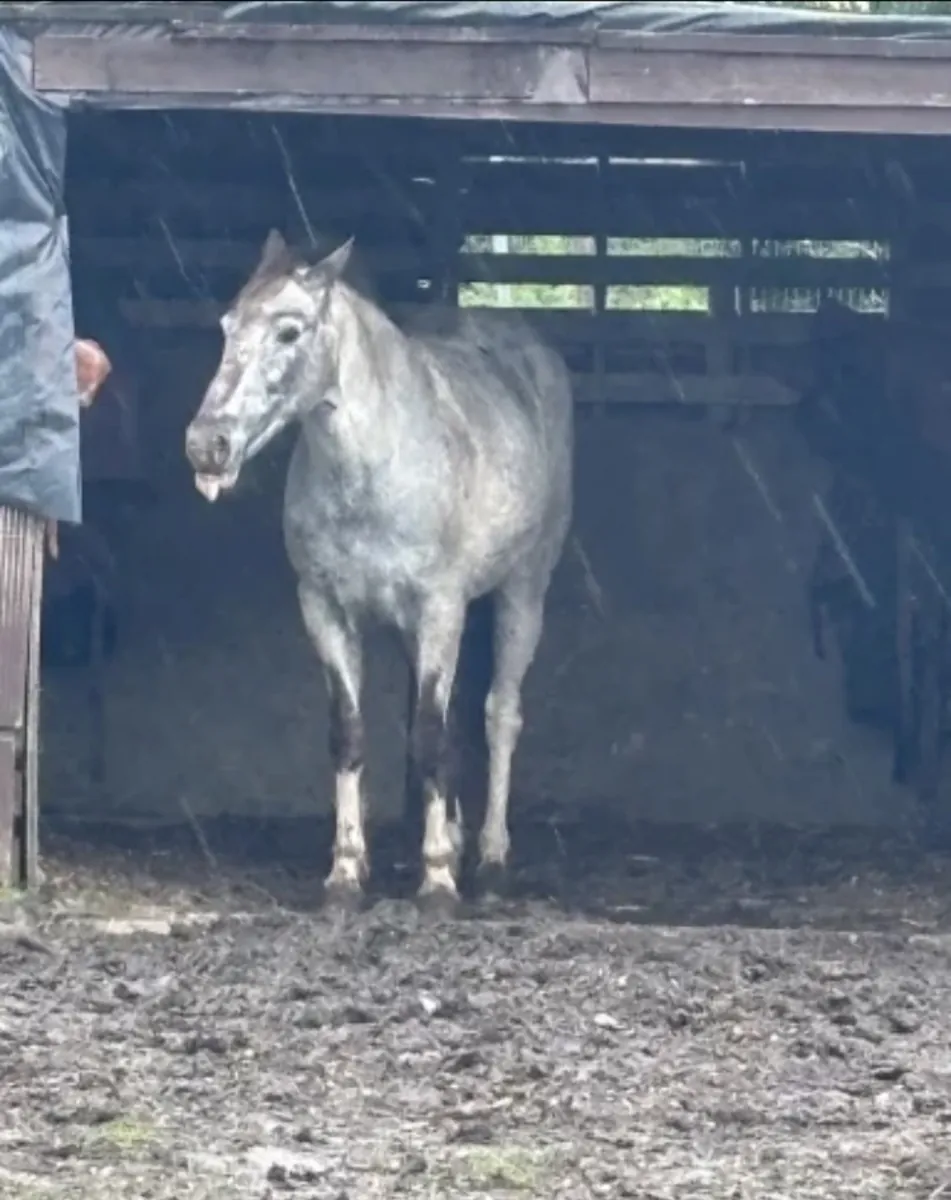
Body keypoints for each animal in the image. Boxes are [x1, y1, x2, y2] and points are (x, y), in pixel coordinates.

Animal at [185, 230, 574, 911]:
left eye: (290, 331)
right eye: (228, 326)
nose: (207, 445)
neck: (374, 469)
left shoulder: (441, 607)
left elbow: (432, 734)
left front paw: (438, 878)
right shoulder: (325, 609)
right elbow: (353, 731)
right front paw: (346, 871)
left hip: (522, 591)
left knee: (499, 713)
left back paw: (491, 858)